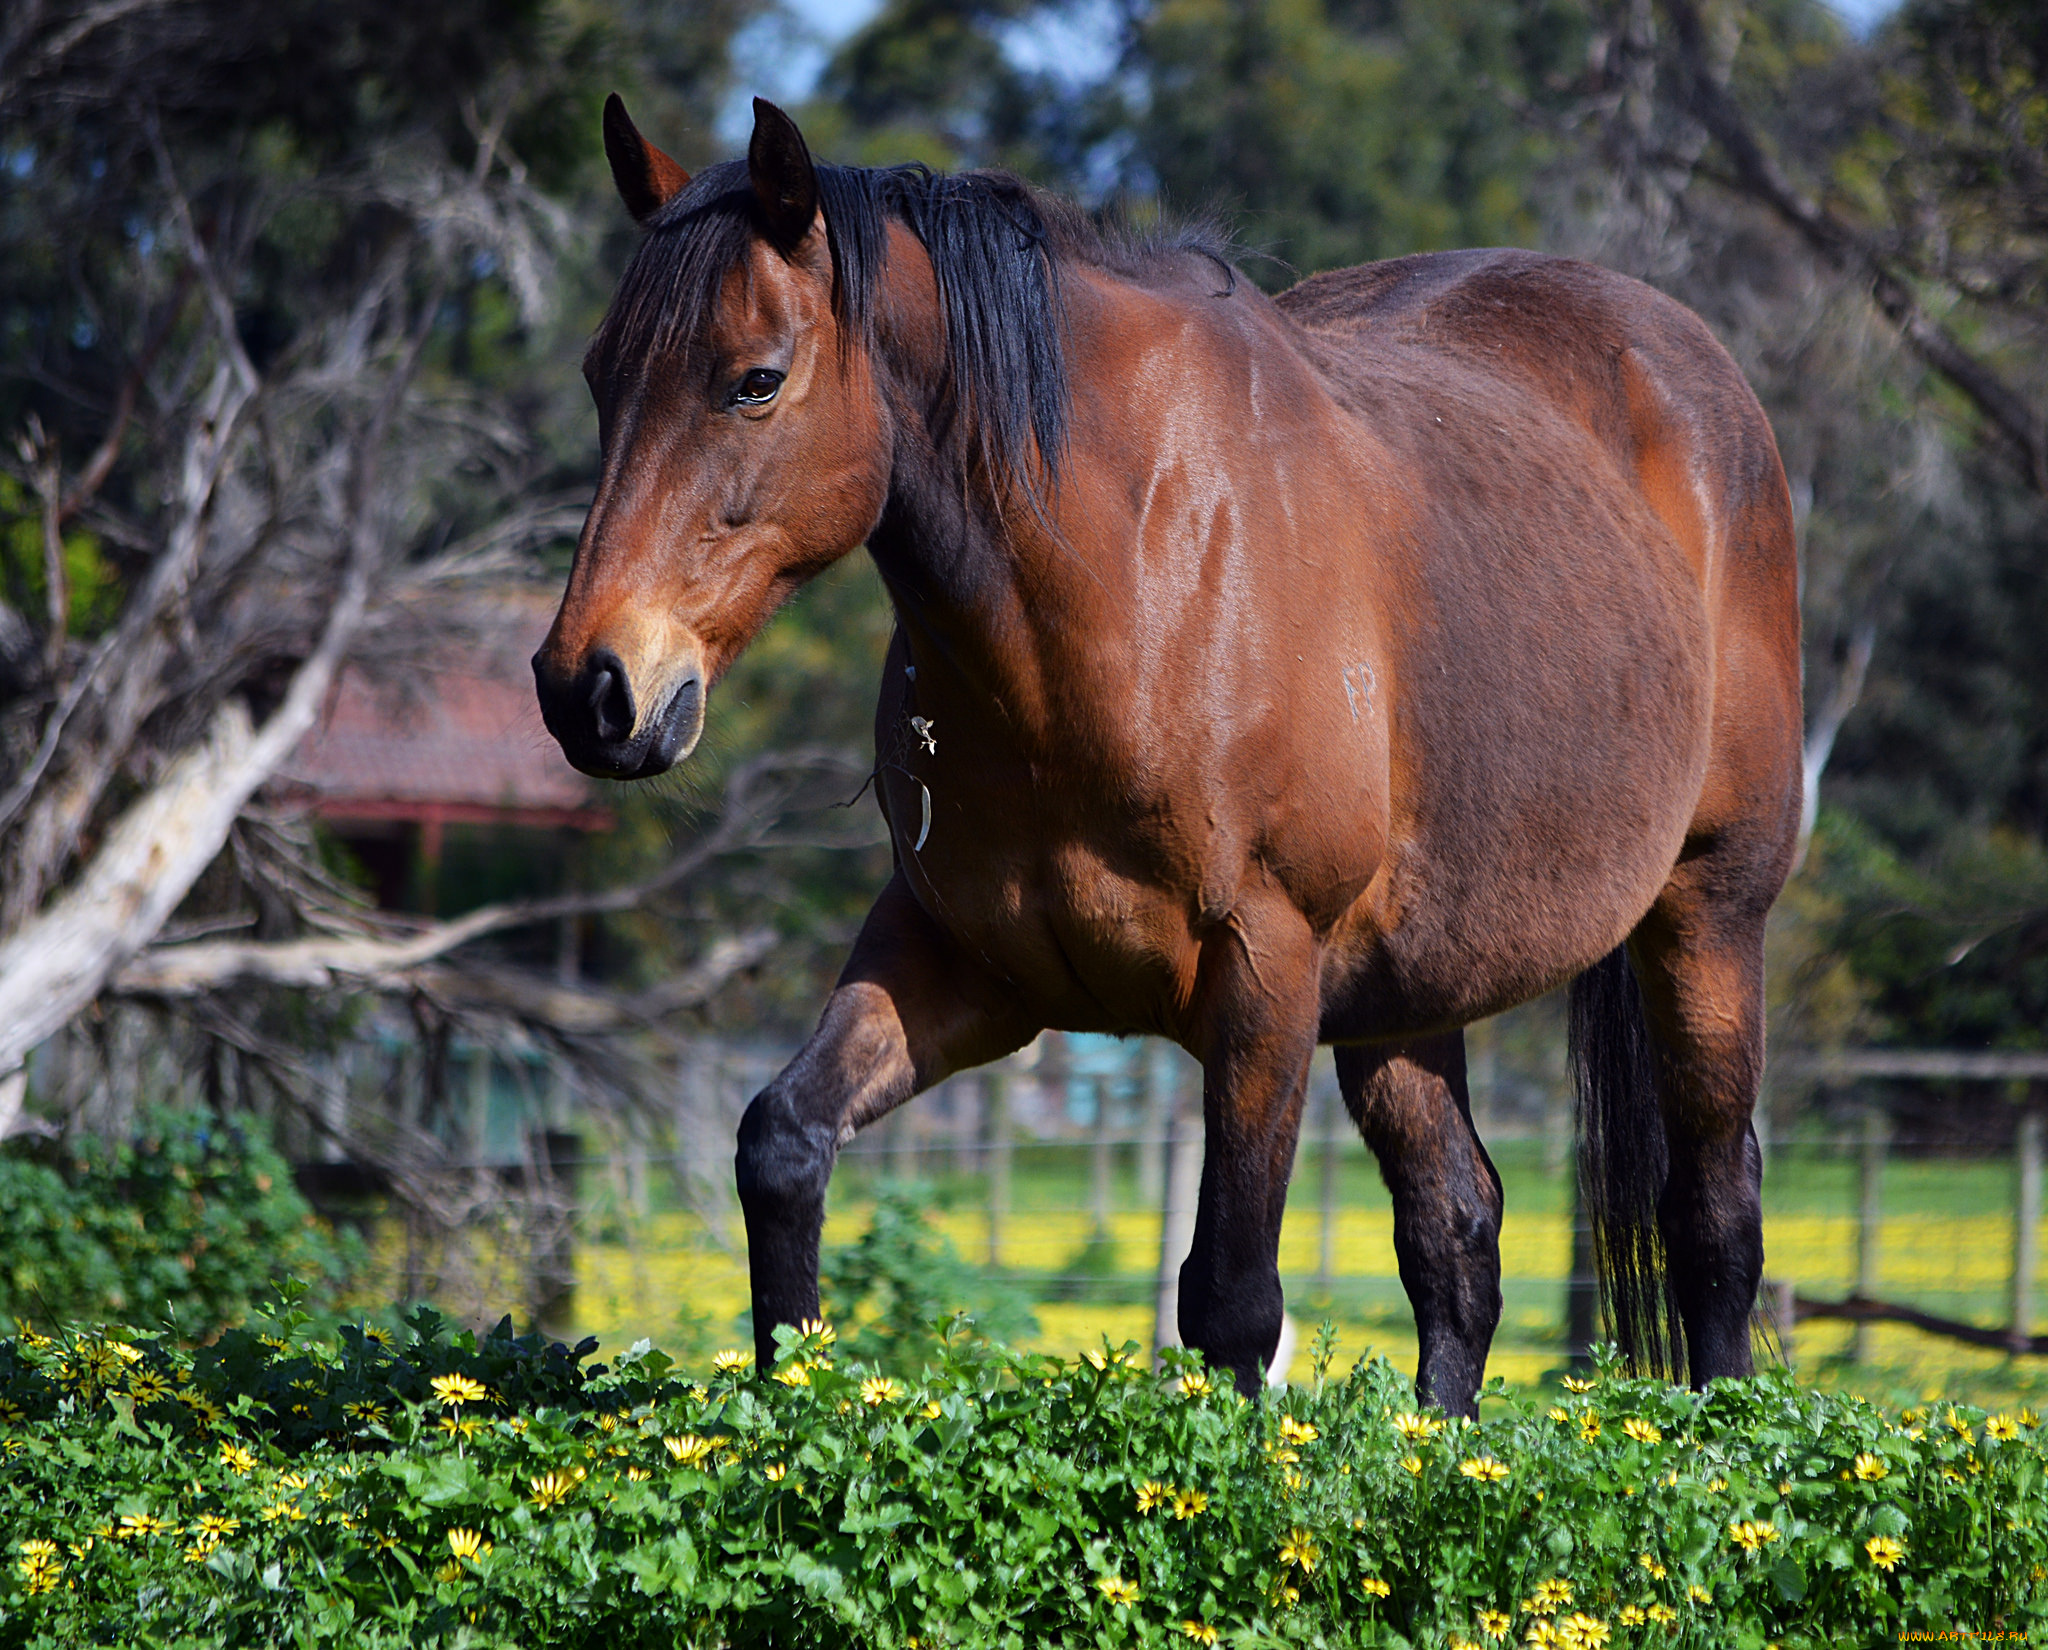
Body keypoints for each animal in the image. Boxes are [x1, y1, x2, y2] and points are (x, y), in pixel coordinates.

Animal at [536, 96, 1802, 1416]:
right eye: (599, 374)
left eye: (756, 381)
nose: (592, 688)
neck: (1132, 574)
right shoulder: (959, 960)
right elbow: (781, 1145)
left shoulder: (1264, 975)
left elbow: (1230, 1301)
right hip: (1405, 999)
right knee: (1455, 1234)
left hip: (1706, 916)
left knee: (1711, 1216)